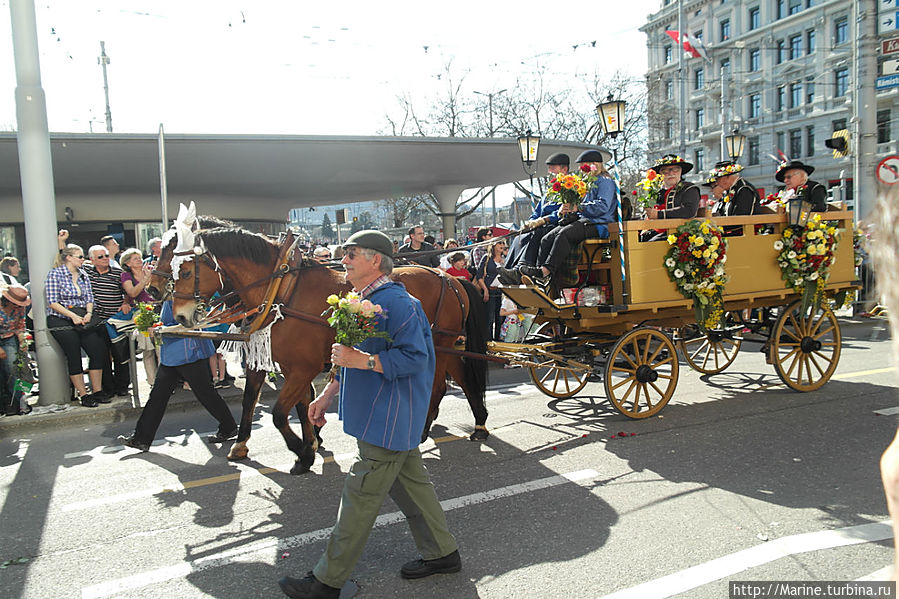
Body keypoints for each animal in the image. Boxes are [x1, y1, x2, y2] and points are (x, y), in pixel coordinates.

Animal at [171, 227, 488, 476]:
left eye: (184, 271)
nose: (180, 316)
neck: (282, 291)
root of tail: (450, 278)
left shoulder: (302, 367)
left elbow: (279, 413)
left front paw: (302, 451)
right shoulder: (286, 365)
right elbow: (290, 404)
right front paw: (307, 444)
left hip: (441, 344)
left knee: (443, 383)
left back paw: (453, 426)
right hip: (443, 345)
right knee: (453, 380)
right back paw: (467, 423)